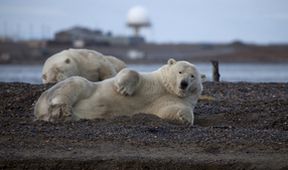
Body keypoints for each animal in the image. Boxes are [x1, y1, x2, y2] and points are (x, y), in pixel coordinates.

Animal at [33, 58, 204, 125]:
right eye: (180, 72)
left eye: (193, 76)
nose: (183, 84)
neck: (167, 88)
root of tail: (39, 108)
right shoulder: (153, 81)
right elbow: (131, 73)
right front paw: (123, 88)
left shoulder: (172, 99)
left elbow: (170, 110)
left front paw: (185, 118)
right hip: (82, 87)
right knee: (77, 84)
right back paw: (63, 109)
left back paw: (63, 115)